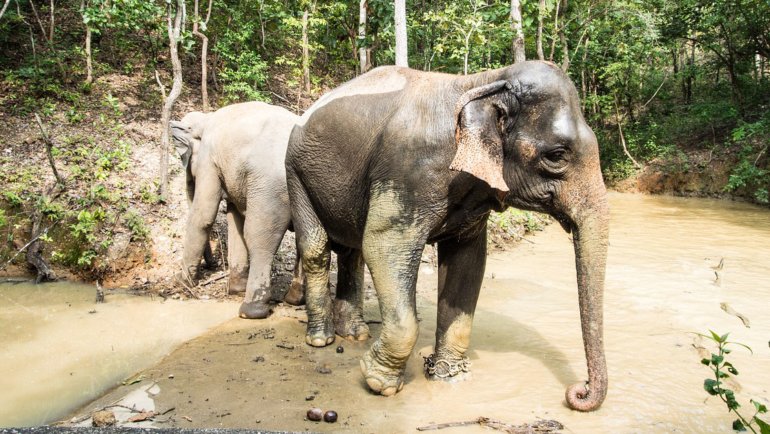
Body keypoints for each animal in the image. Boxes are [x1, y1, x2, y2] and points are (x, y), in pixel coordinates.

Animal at [171, 101, 304, 318]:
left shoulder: (209, 159)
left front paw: (180, 282)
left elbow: (203, 216)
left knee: (259, 236)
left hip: (270, 187)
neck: (206, 119)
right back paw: (294, 299)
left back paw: (251, 310)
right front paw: (235, 289)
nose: (212, 264)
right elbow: (234, 218)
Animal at [284, 60, 608, 410]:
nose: (578, 391)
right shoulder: (407, 172)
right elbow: (383, 246)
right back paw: (321, 339)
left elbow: (467, 261)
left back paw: (355, 334)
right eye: (557, 156)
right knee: (317, 249)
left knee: (352, 251)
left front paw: (448, 377)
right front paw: (379, 383)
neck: (484, 81)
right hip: (296, 173)